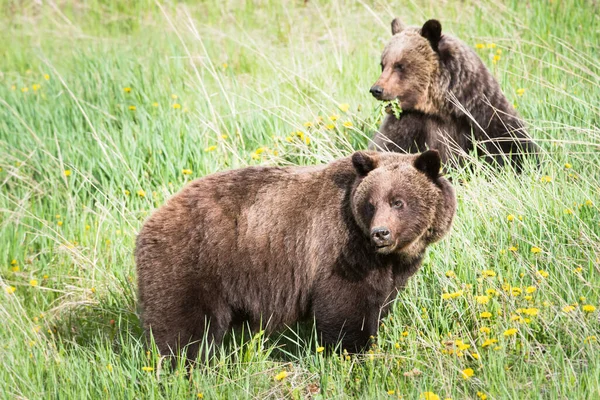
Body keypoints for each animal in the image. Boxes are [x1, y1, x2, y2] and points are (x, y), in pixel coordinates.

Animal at [136, 148, 454, 360]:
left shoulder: (389, 269)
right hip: (193, 262)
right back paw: (182, 365)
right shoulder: (339, 251)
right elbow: (346, 308)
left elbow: (382, 301)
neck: (388, 256)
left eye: (398, 202)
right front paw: (353, 351)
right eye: (371, 204)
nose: (380, 233)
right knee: (183, 328)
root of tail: (150, 220)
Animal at [370, 18, 540, 171]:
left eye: (400, 65)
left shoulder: (482, 116)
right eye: (383, 64)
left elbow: (511, 145)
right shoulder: (409, 124)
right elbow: (388, 146)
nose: (376, 89)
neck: (440, 108)